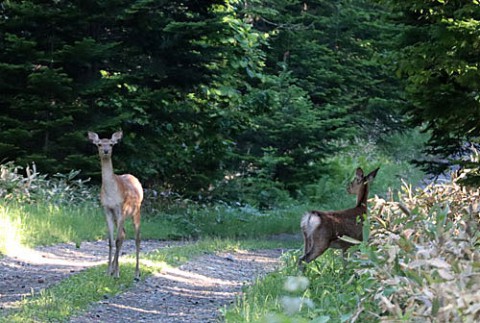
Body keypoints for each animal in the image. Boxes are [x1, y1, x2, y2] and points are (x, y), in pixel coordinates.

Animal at [88, 132, 143, 280]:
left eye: (112, 144)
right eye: (99, 144)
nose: (106, 151)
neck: (112, 193)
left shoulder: (121, 209)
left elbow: (117, 240)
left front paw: (117, 273)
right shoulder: (107, 210)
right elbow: (111, 241)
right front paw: (109, 271)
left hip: (136, 211)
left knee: (137, 238)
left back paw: (136, 273)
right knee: (124, 234)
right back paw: (113, 269)